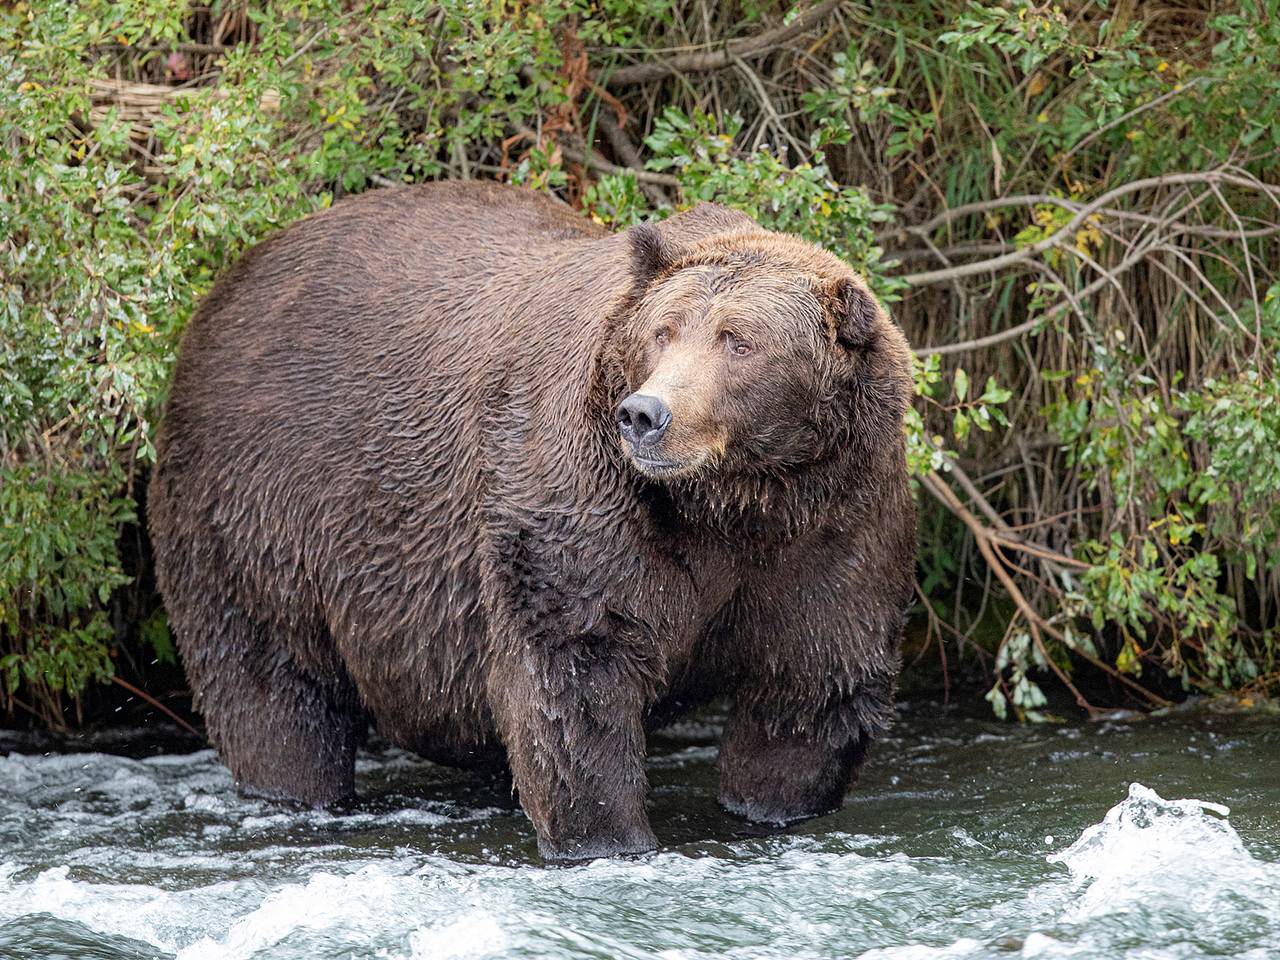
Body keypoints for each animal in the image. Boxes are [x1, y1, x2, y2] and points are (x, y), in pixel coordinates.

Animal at [145, 180, 916, 865]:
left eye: (740, 340)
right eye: (663, 331)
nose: (646, 415)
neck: (736, 503)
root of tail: (225, 286)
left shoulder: (837, 526)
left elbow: (812, 686)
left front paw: (769, 806)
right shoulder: (587, 502)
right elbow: (575, 675)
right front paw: (608, 840)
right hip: (258, 507)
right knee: (271, 685)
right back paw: (296, 791)